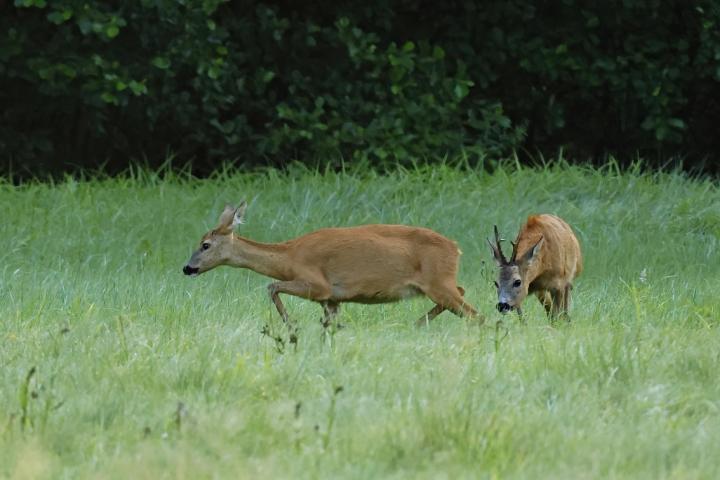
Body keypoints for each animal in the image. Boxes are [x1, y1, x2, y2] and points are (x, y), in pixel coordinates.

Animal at [183, 200, 480, 338]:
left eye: (205, 245)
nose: (187, 268)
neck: (288, 258)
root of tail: (456, 249)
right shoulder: (333, 298)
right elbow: (331, 323)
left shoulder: (317, 284)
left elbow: (271, 286)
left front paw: (291, 324)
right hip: (440, 283)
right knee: (464, 293)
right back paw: (417, 324)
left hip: (438, 282)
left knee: (476, 314)